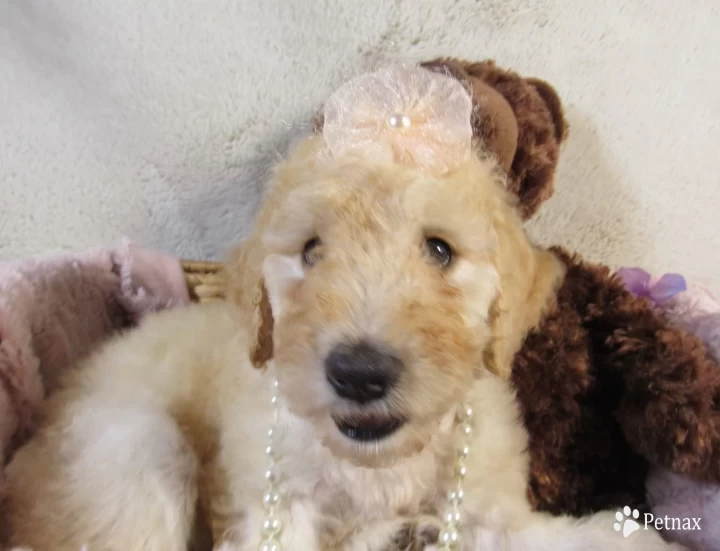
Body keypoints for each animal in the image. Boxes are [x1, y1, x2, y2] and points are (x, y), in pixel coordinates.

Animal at [0, 133, 676, 548]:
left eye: (439, 250)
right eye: (311, 251)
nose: (359, 374)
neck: (381, 465)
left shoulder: (491, 503)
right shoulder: (272, 508)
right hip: (137, 446)